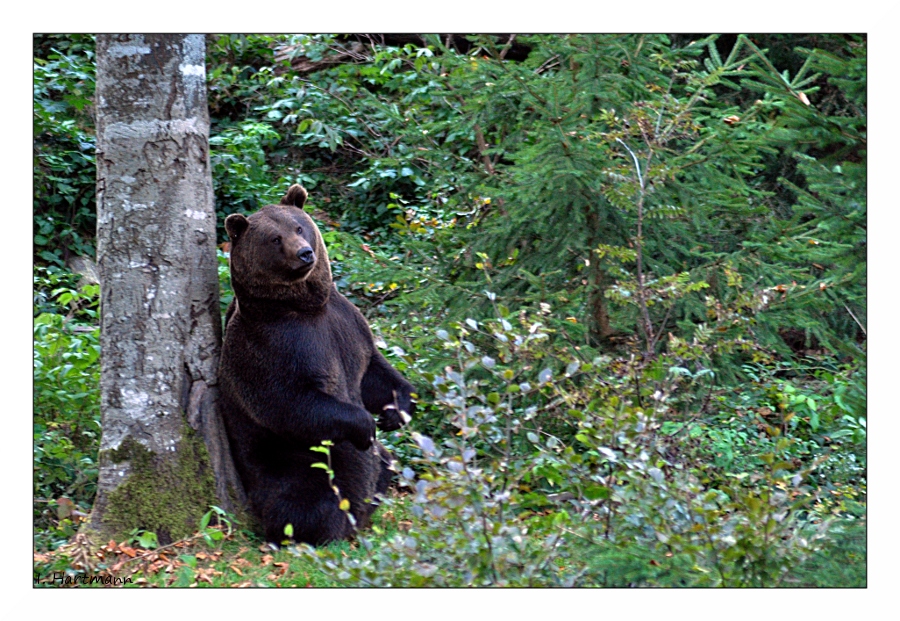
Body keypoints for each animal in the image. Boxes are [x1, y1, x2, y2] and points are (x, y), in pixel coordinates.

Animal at [218, 183, 414, 544]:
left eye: (298, 227)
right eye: (274, 238)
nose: (305, 254)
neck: (306, 305)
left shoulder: (346, 324)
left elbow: (374, 373)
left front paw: (397, 412)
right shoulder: (276, 346)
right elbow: (291, 403)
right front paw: (366, 426)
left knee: (386, 463)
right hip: (297, 466)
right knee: (305, 503)